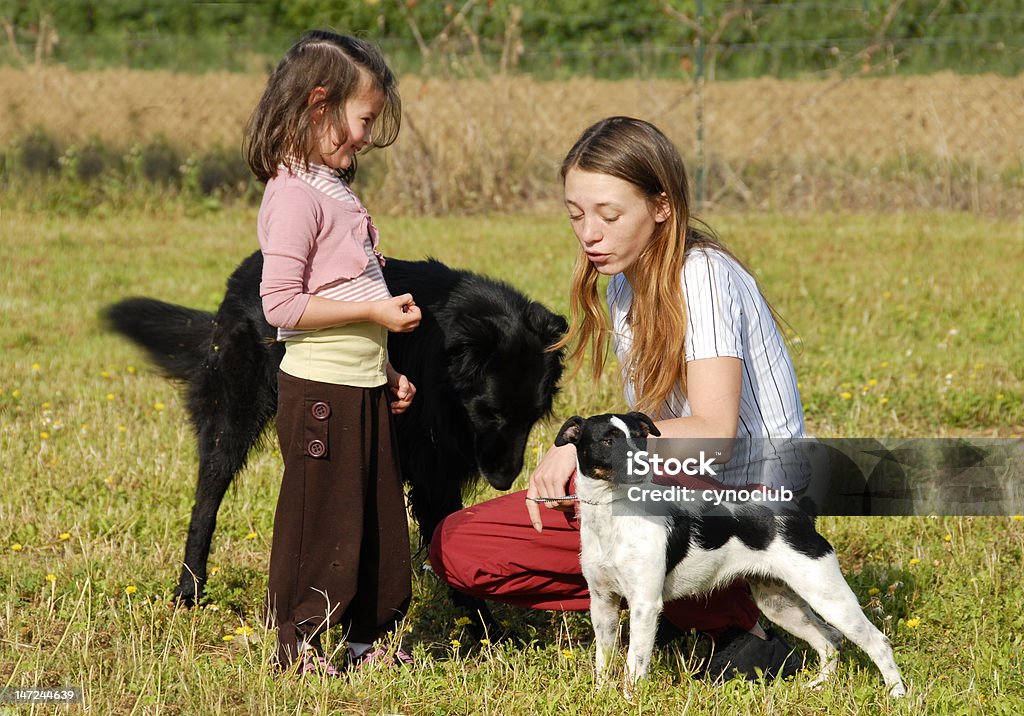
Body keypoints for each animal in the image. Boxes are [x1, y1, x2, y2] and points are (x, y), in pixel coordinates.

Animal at [105, 251, 569, 614]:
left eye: (533, 417)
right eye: (490, 411)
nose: (505, 481)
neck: (443, 360)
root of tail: (245, 270)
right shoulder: (432, 472)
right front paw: (485, 630)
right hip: (232, 423)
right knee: (206, 502)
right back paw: (190, 591)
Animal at [561, 413, 905, 700]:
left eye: (640, 437)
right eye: (608, 440)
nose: (644, 463)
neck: (613, 515)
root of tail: (802, 513)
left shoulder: (645, 605)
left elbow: (635, 662)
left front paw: (630, 700)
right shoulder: (603, 602)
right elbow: (604, 660)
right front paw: (601, 695)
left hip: (828, 596)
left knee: (877, 642)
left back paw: (898, 694)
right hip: (781, 604)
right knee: (829, 640)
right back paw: (820, 685)